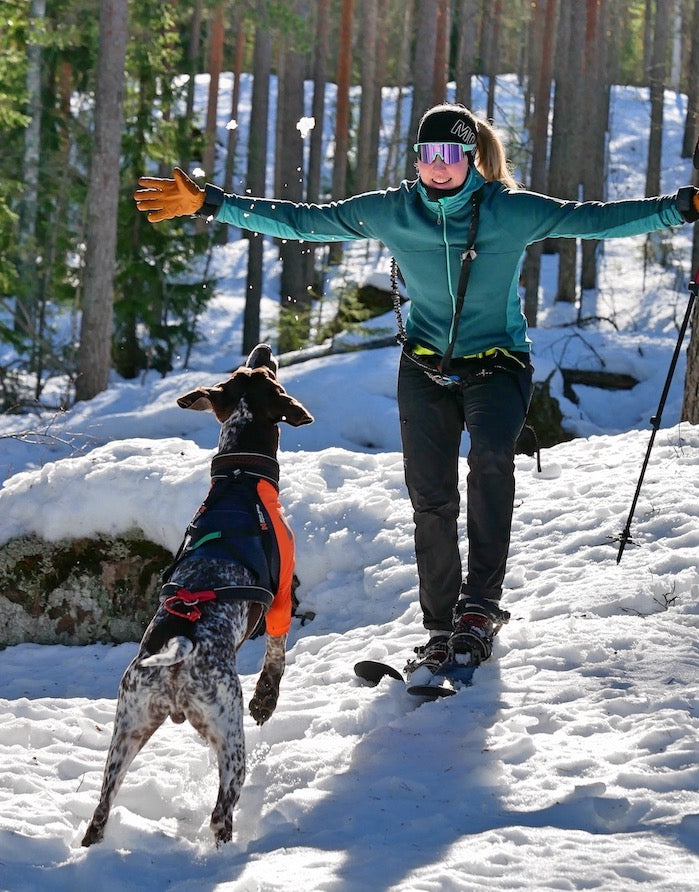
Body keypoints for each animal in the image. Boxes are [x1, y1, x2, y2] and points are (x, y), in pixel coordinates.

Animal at [80, 344, 314, 848]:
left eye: (248, 369)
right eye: (266, 372)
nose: (264, 348)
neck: (241, 476)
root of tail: (177, 652)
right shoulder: (282, 596)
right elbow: (277, 656)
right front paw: (266, 700)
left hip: (127, 728)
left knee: (100, 811)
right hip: (228, 733)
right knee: (220, 813)